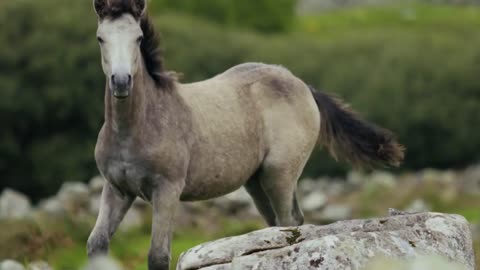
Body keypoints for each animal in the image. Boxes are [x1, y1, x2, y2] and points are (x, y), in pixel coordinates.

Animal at [87, 0, 404, 268]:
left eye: (139, 38)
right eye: (100, 38)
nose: (121, 82)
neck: (135, 128)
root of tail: (302, 84)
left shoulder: (167, 190)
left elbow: (158, 255)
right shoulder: (117, 190)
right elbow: (96, 243)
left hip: (280, 174)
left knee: (289, 223)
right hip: (257, 182)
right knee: (282, 223)